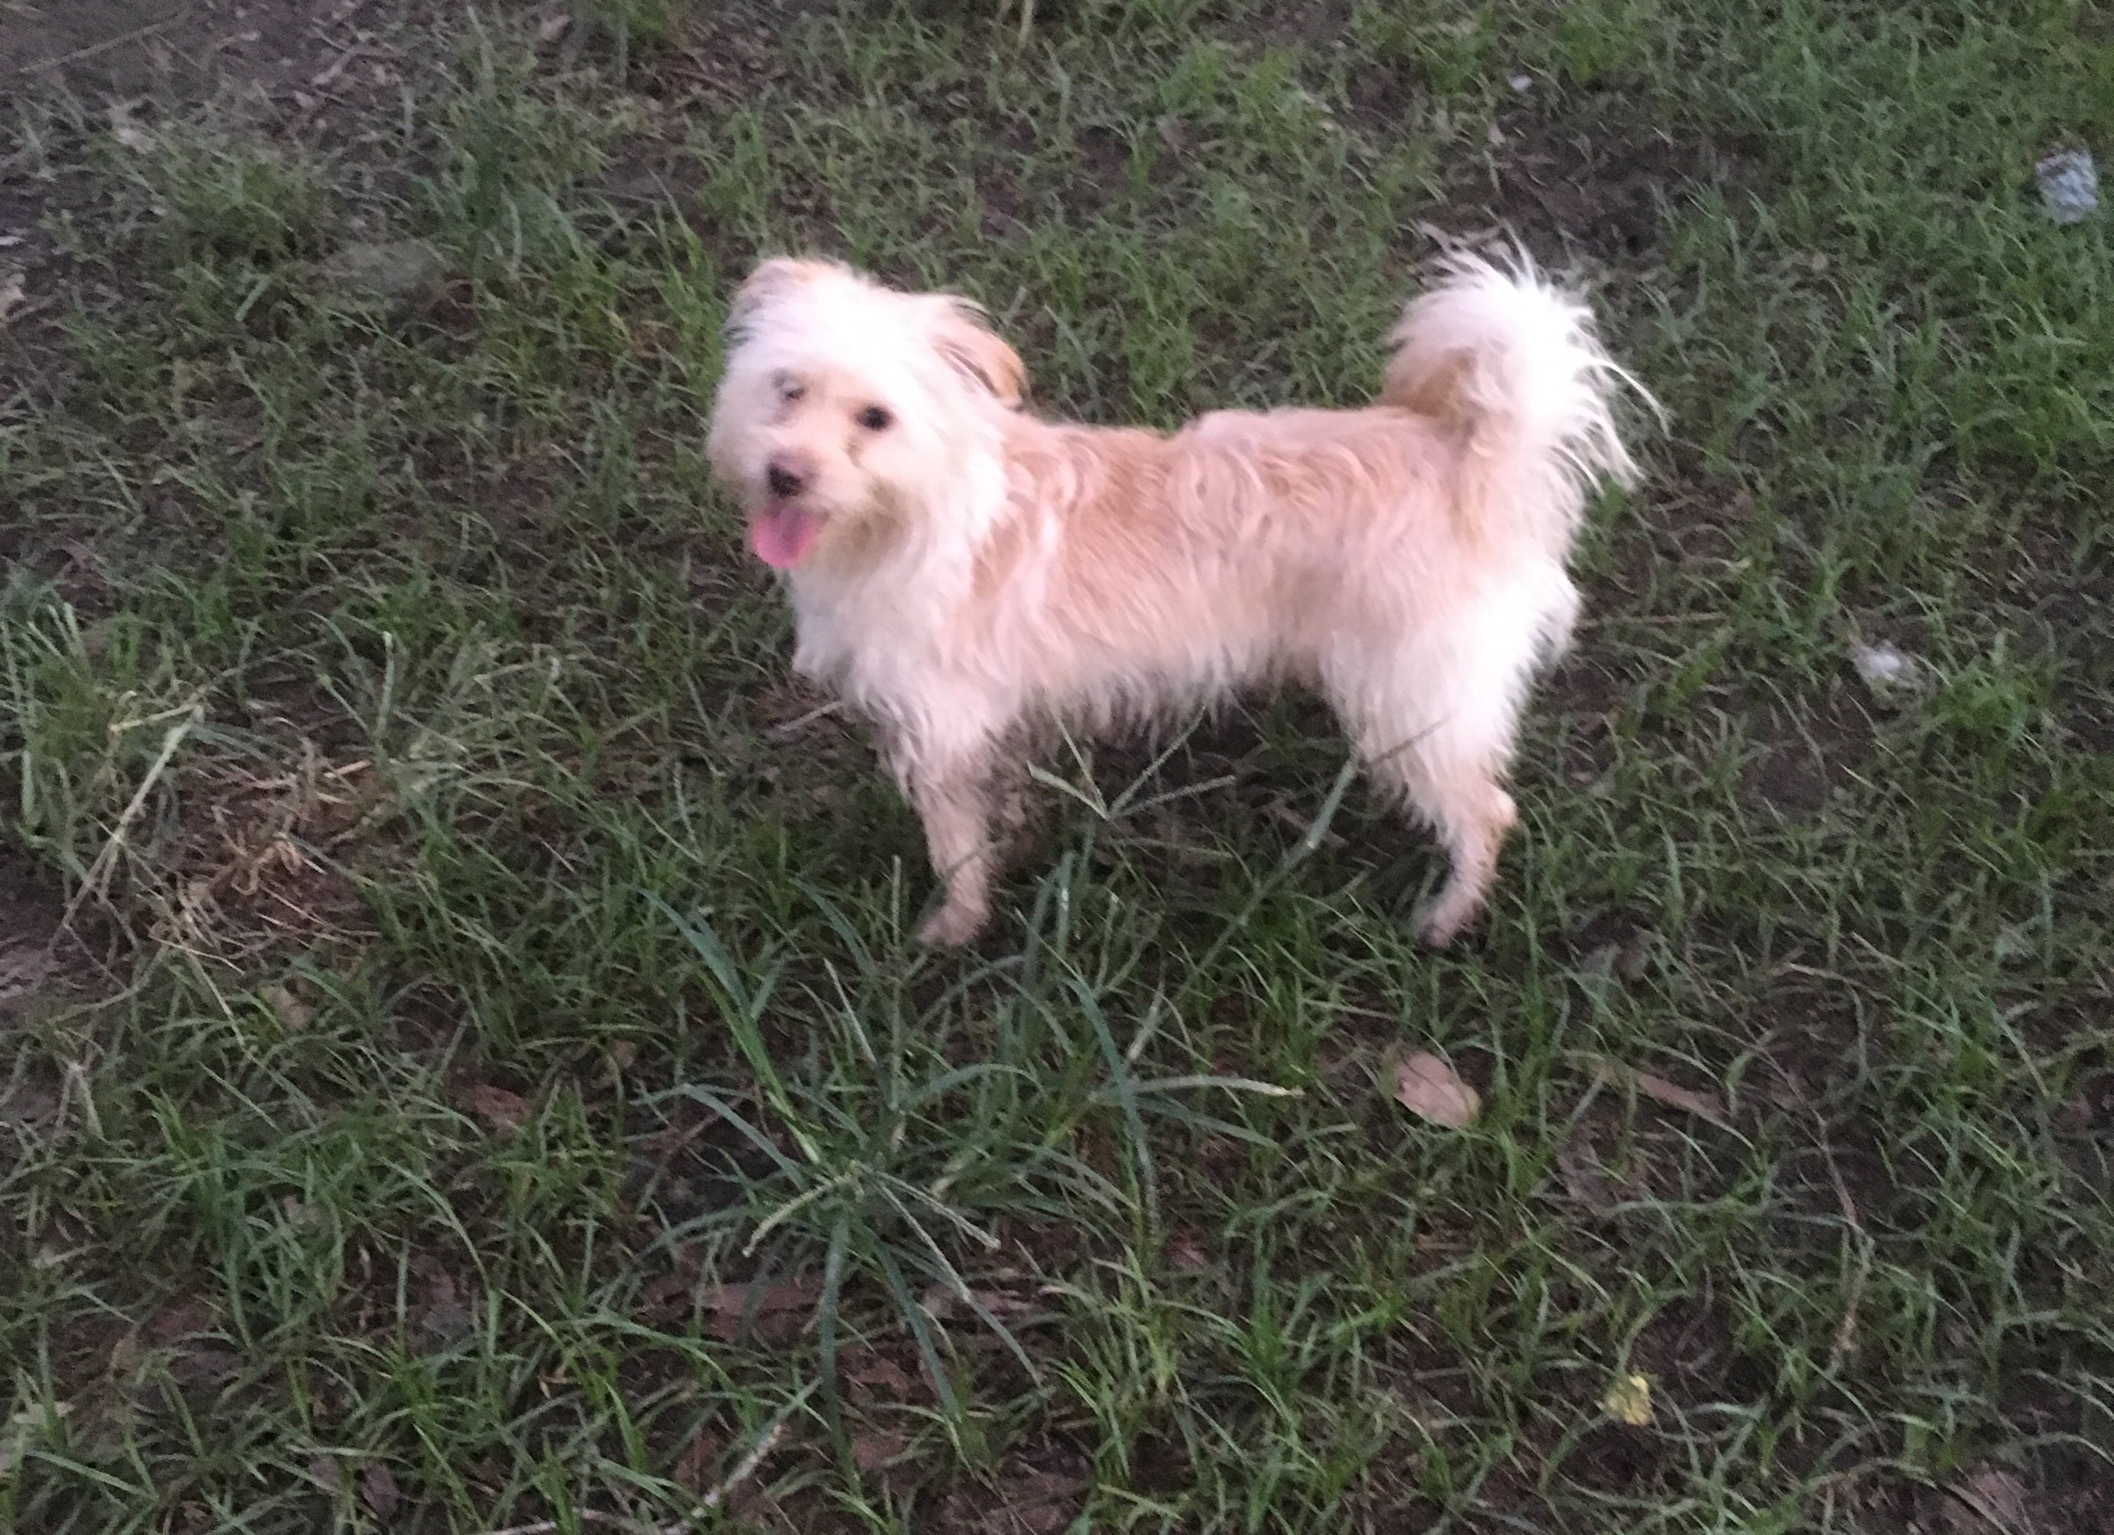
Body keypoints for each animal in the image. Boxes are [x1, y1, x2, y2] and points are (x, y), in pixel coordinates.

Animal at [701, 253, 1640, 951]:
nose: (786, 472)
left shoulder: (942, 728)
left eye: (875, 418)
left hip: (1413, 702)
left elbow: (955, 844)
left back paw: (1447, 917)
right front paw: (1016, 841)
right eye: (787, 389)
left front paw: (955, 925)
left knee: (1489, 811)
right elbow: (1003, 798)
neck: (916, 513)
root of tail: (1472, 464)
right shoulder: (996, 720)